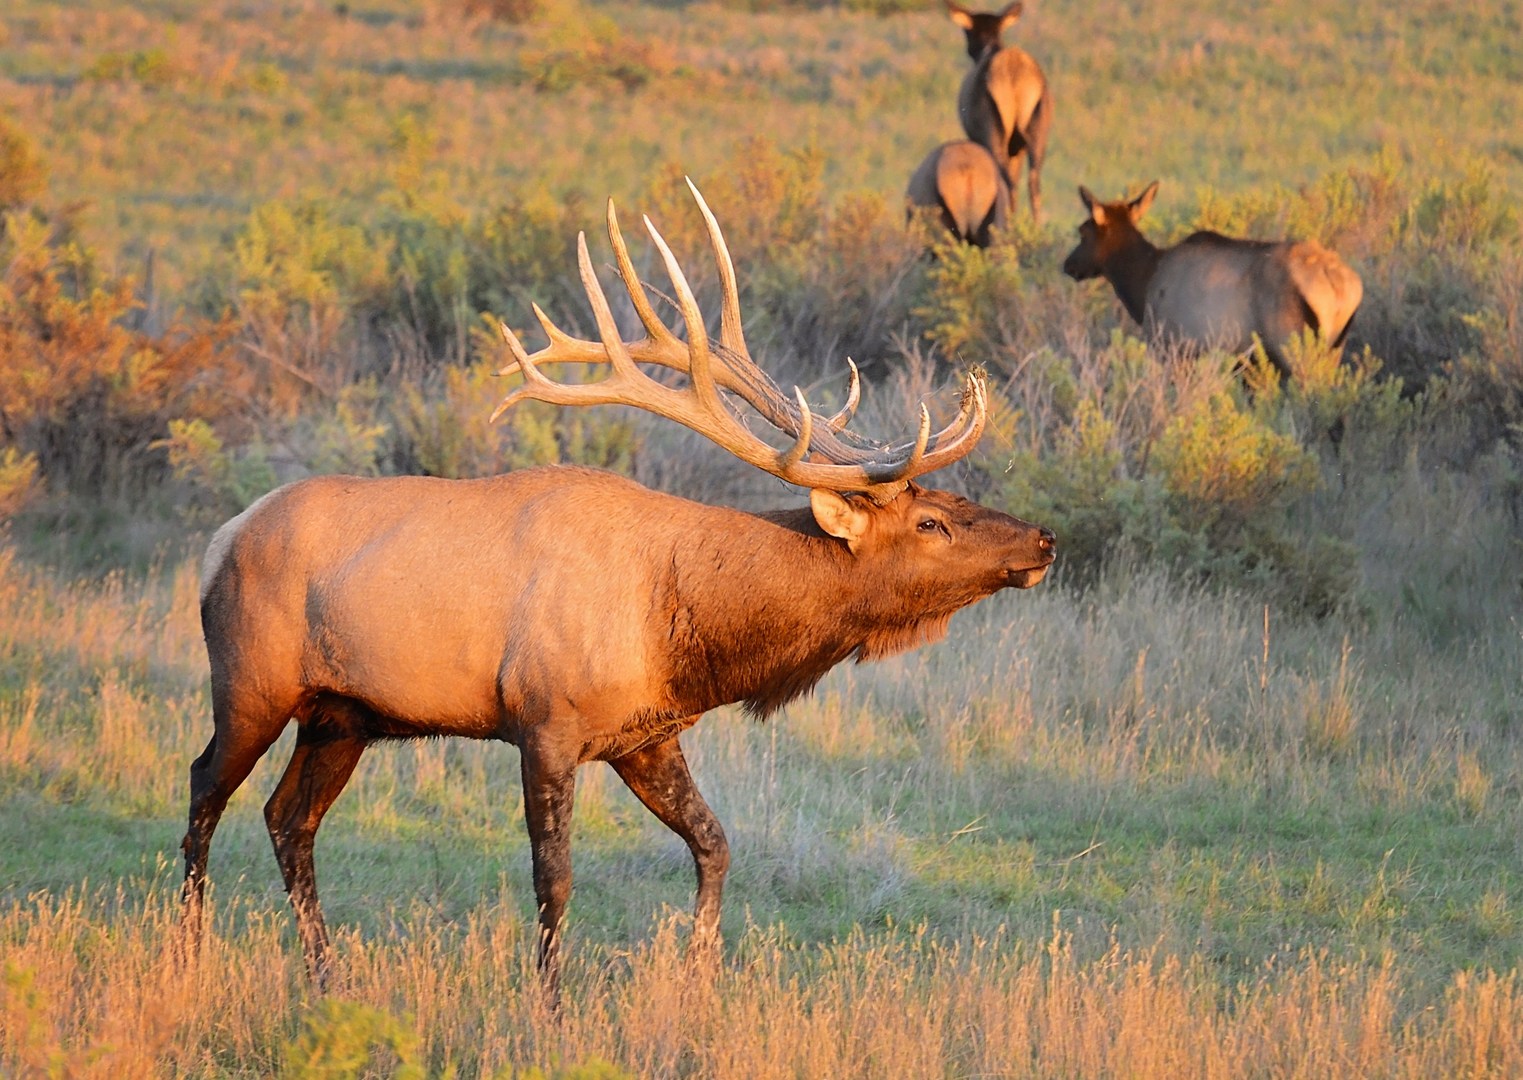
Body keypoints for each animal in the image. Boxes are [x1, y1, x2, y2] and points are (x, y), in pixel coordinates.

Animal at [181, 181, 1060, 999]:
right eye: (930, 522)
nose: (1043, 540)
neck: (684, 629)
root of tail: (219, 541)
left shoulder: (645, 735)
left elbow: (713, 843)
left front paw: (700, 974)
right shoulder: (543, 722)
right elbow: (554, 878)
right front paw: (550, 1003)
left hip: (341, 715)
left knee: (288, 819)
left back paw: (326, 973)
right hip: (252, 685)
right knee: (203, 791)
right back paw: (188, 949)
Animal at [944, 0, 1053, 220]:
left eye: (968, 31)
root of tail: (1015, 72)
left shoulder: (979, 136)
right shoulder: (1018, 147)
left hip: (994, 132)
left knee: (1007, 181)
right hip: (1037, 130)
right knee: (1033, 182)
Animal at [1060, 179, 1370, 374]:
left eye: (1083, 232)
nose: (1068, 265)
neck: (1143, 281)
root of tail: (1341, 286)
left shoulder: (1172, 346)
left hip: (1293, 343)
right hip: (1335, 347)